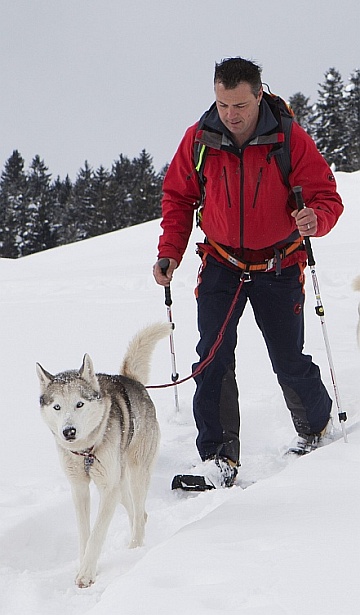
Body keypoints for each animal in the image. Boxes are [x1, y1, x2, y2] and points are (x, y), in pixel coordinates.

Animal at [36, 322, 170, 588]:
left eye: (79, 404)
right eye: (57, 407)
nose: (68, 431)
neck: (86, 451)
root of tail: (130, 380)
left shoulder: (107, 489)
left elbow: (97, 533)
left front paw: (86, 574)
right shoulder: (79, 488)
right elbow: (84, 533)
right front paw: (83, 564)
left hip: (136, 474)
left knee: (139, 513)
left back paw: (135, 549)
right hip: (119, 482)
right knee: (138, 512)